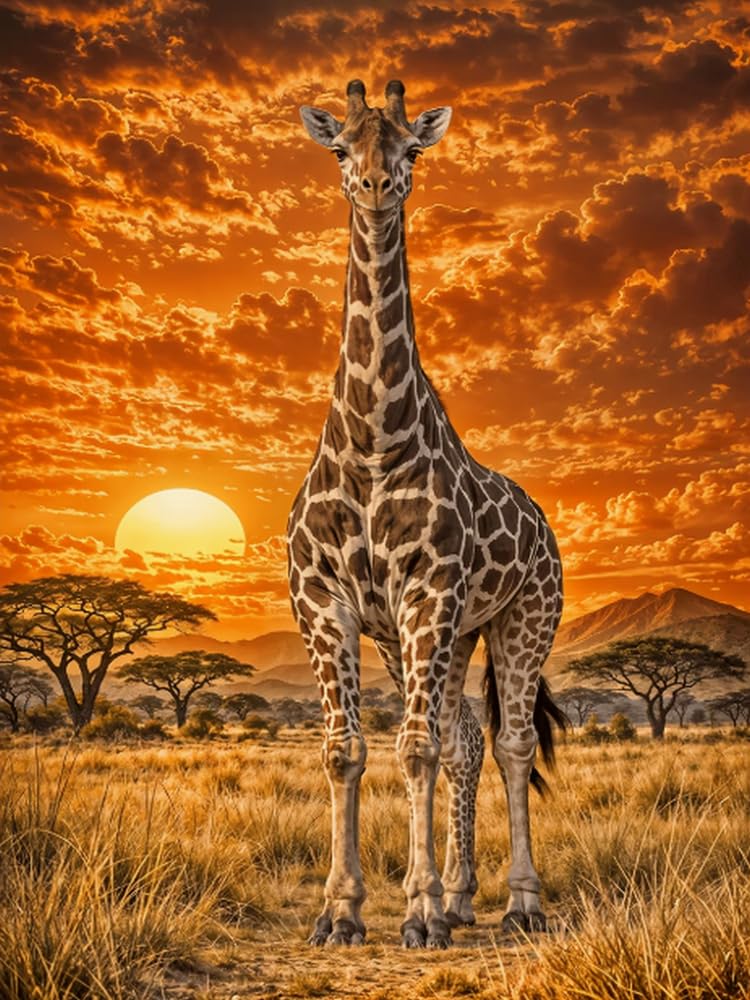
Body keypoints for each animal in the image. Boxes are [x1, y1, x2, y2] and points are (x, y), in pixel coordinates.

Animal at [287, 80, 564, 949]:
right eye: (342, 148)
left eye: (412, 148)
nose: (378, 187)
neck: (374, 441)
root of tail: (545, 523)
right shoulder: (327, 600)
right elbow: (345, 750)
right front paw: (343, 911)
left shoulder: (430, 589)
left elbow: (412, 751)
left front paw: (414, 912)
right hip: (434, 635)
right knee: (464, 739)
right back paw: (461, 896)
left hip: (521, 617)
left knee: (509, 742)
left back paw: (519, 902)